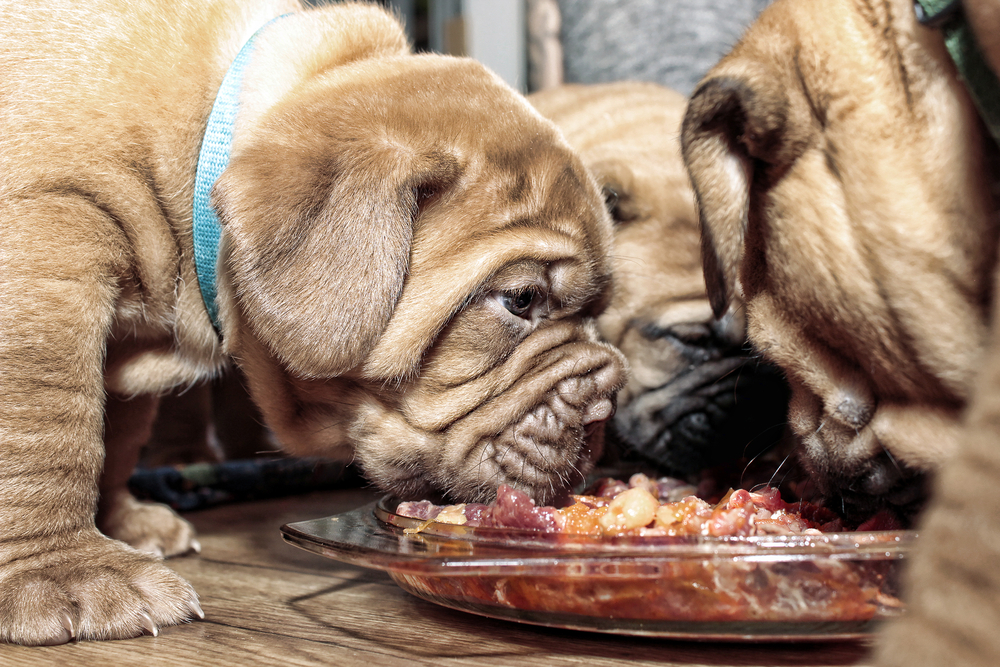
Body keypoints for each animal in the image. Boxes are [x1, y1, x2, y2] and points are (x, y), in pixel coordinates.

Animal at [0, 0, 624, 648]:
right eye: (521, 300)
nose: (606, 405)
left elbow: (117, 433)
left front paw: (119, 523)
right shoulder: (50, 242)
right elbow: (49, 430)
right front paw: (66, 569)